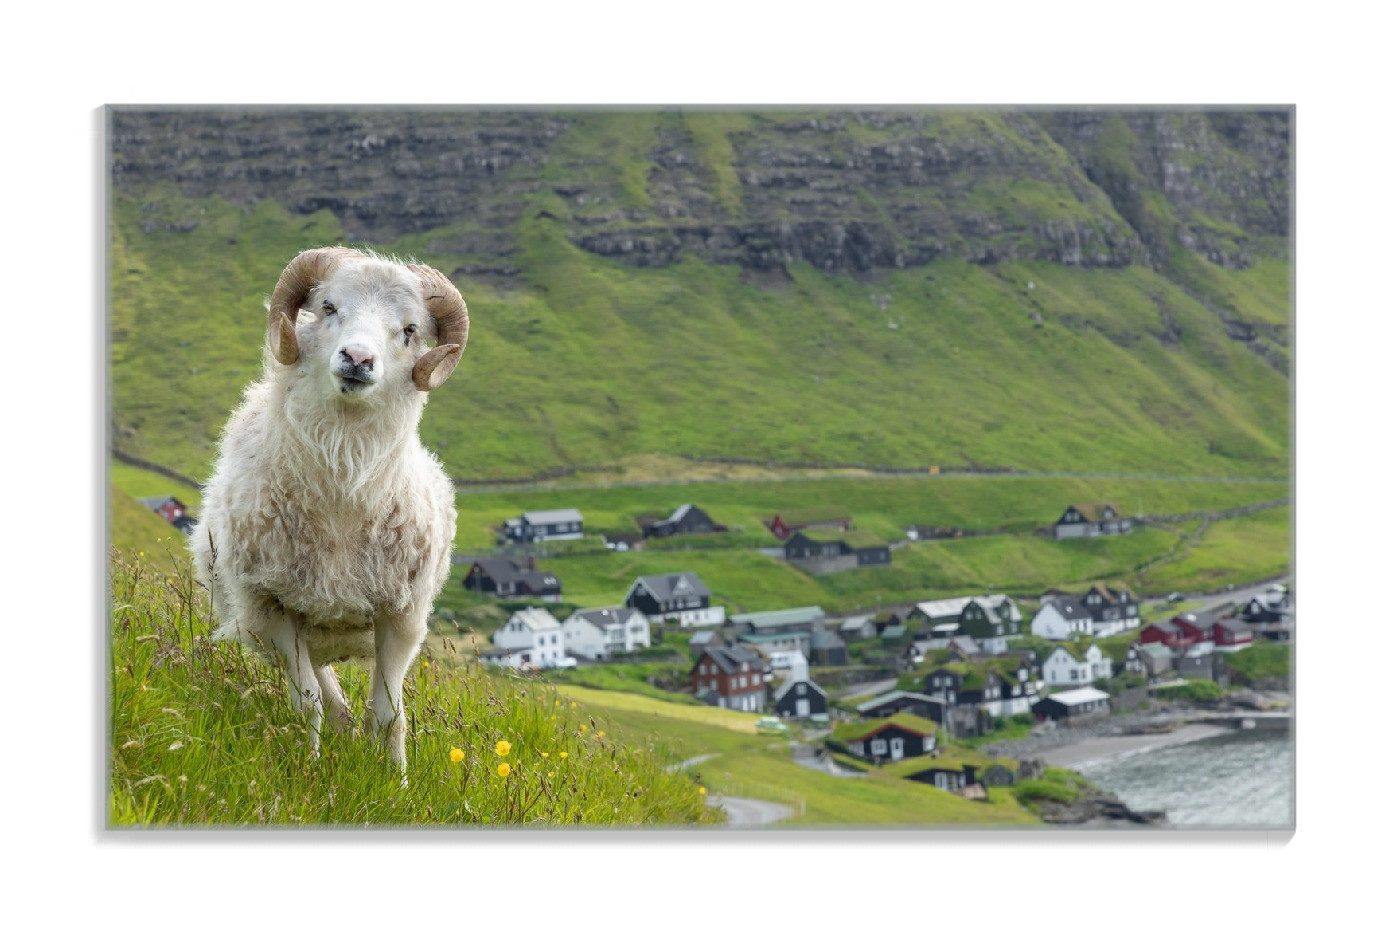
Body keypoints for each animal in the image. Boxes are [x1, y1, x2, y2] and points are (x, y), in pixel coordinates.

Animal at [191, 246, 468, 775]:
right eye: (329, 307)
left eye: (409, 330)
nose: (358, 359)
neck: (342, 493)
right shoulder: (272, 609)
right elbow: (307, 705)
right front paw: (306, 770)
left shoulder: (402, 617)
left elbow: (389, 715)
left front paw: (396, 782)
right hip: (273, 629)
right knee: (327, 698)